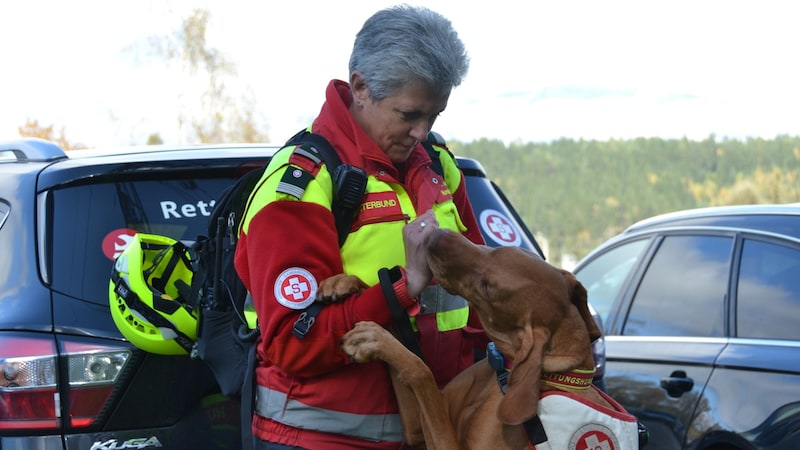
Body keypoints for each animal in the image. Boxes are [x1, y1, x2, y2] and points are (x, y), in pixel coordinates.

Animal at [340, 230, 640, 448]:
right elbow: (389, 309)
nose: (435, 235)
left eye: (486, 287)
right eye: (499, 249)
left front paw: (375, 340)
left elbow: (420, 370)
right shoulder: (416, 431)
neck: (502, 372)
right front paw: (346, 283)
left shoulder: (443, 442)